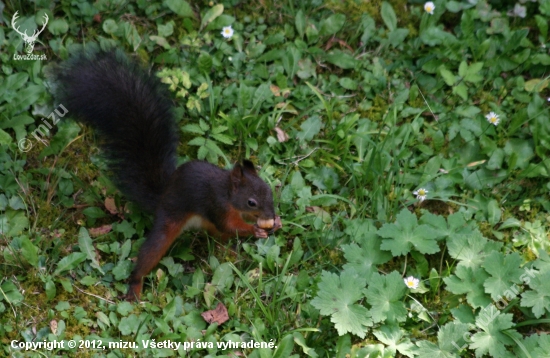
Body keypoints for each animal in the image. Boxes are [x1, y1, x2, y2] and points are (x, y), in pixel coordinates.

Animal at [52, 49, 282, 300]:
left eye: (269, 191)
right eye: (251, 202)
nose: (270, 214)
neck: (227, 193)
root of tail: (162, 196)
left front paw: (275, 223)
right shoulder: (217, 206)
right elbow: (231, 225)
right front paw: (255, 229)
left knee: (218, 236)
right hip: (168, 222)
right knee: (151, 252)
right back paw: (135, 286)